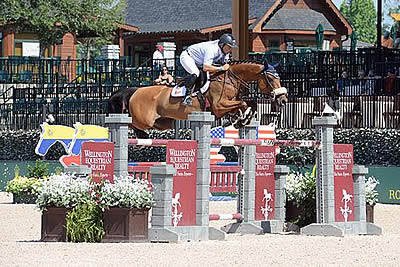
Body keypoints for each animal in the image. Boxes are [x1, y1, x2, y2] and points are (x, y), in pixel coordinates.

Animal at [108, 60, 288, 136]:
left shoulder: (226, 107)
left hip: (163, 123)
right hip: (144, 120)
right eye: (270, 79)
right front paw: (242, 119)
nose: (284, 100)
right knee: (130, 123)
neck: (230, 78)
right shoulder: (219, 107)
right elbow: (244, 103)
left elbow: (249, 103)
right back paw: (141, 136)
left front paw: (240, 120)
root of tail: (135, 91)